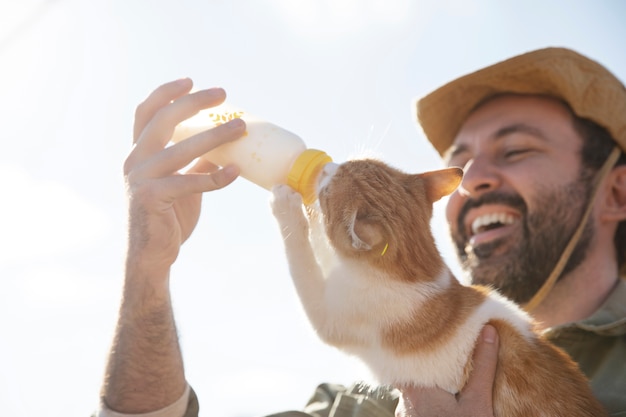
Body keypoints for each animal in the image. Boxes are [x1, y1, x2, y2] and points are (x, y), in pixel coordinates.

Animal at [268, 158, 604, 416]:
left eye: (328, 189)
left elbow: (304, 256)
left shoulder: (330, 317)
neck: (417, 269)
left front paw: (287, 205)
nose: (326, 166)